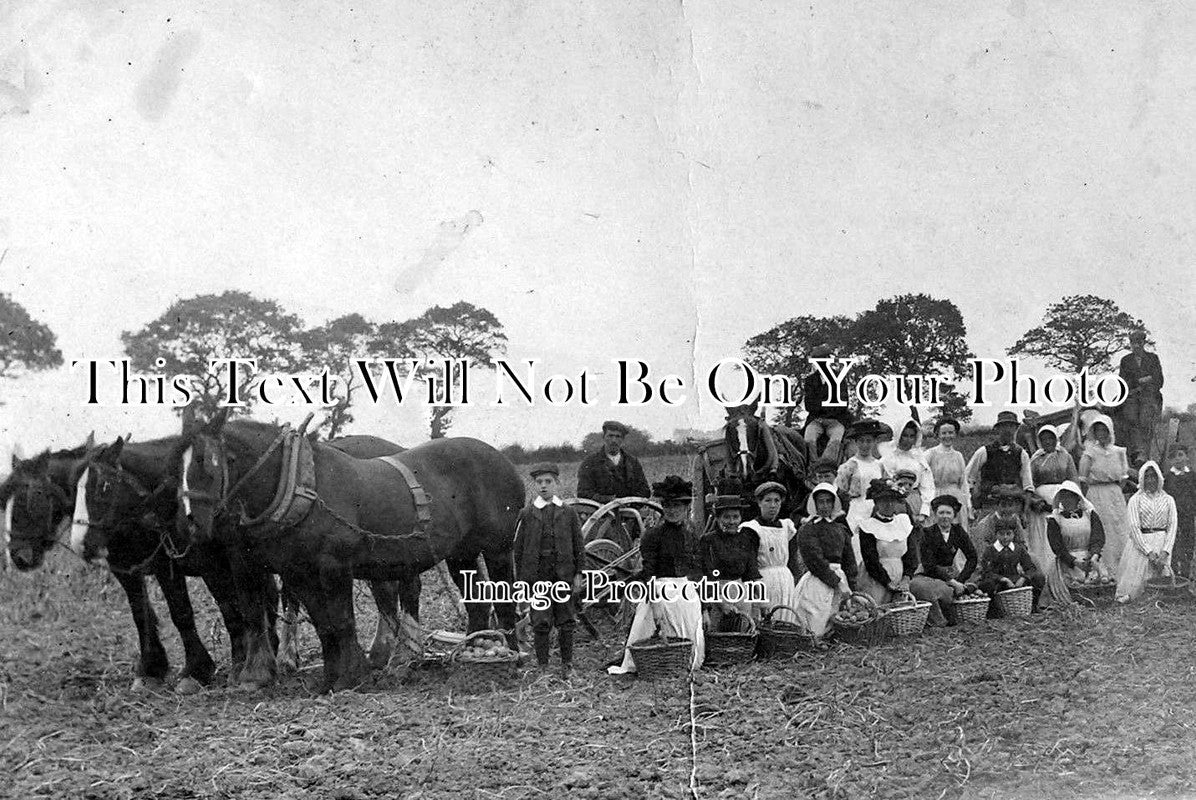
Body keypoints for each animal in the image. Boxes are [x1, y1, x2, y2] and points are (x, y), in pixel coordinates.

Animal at [174, 418, 521, 688]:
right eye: (178, 467)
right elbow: (323, 624)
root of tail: (501, 459)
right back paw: (469, 652)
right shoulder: (298, 572)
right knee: (475, 605)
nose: (191, 523)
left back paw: (511, 655)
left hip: (499, 548)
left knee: (503, 601)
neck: (301, 488)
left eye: (206, 464)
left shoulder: (334, 566)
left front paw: (352, 677)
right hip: (461, 554)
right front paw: (331, 676)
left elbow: (341, 621)